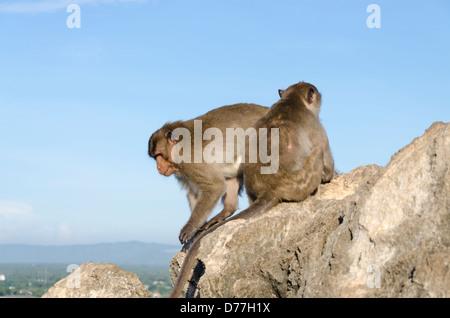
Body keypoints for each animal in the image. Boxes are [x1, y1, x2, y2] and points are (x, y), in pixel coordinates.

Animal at [148, 104, 268, 246]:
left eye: (159, 155)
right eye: (155, 157)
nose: (158, 167)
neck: (179, 147)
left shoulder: (191, 160)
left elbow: (215, 186)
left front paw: (190, 227)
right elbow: (193, 193)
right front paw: (196, 229)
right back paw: (228, 210)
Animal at [171, 82, 336, 298]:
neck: (291, 101)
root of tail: (271, 190)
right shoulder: (316, 126)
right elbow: (326, 159)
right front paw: (331, 176)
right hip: (304, 180)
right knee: (317, 153)